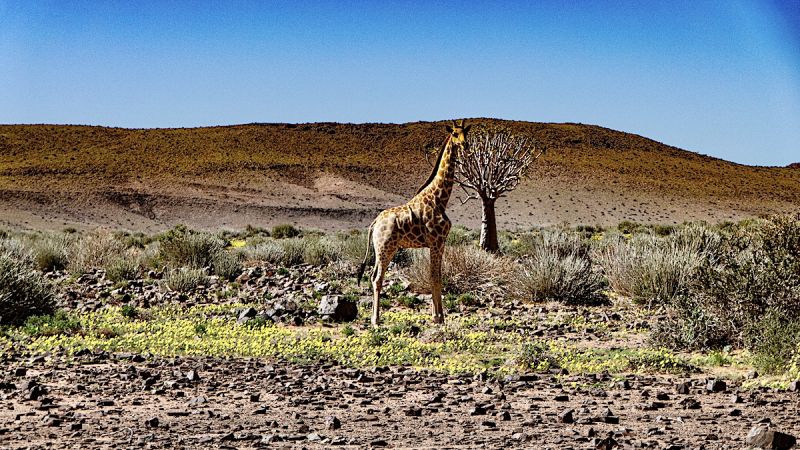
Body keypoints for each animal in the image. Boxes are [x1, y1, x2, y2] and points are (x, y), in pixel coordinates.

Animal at [356, 118, 468, 326]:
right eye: (455, 134)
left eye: (466, 132)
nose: (465, 144)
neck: (440, 199)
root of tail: (374, 223)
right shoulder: (437, 242)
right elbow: (435, 277)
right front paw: (438, 317)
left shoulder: (437, 243)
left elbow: (435, 276)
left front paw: (438, 316)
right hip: (386, 248)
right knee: (377, 278)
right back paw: (375, 320)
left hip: (381, 249)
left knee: (372, 276)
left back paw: (374, 317)